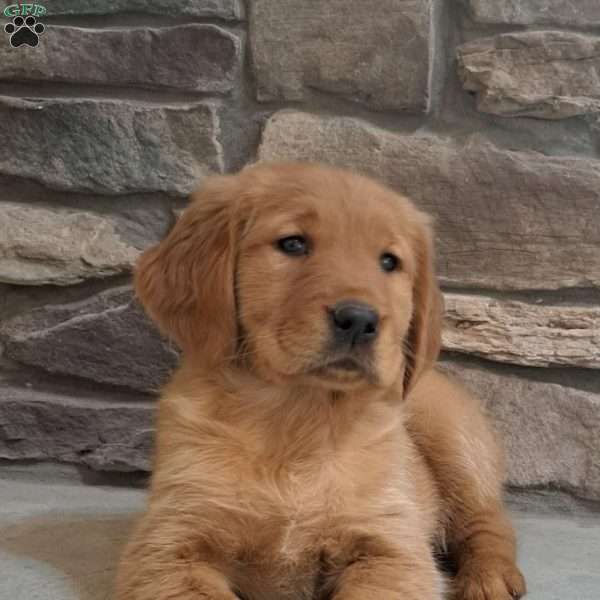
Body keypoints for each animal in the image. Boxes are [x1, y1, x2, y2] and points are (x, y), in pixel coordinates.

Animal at [116, 163, 524, 600]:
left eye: (389, 262)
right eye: (293, 244)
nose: (360, 319)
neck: (299, 417)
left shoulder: (391, 547)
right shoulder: (169, 546)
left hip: (453, 434)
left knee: (486, 517)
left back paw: (489, 577)